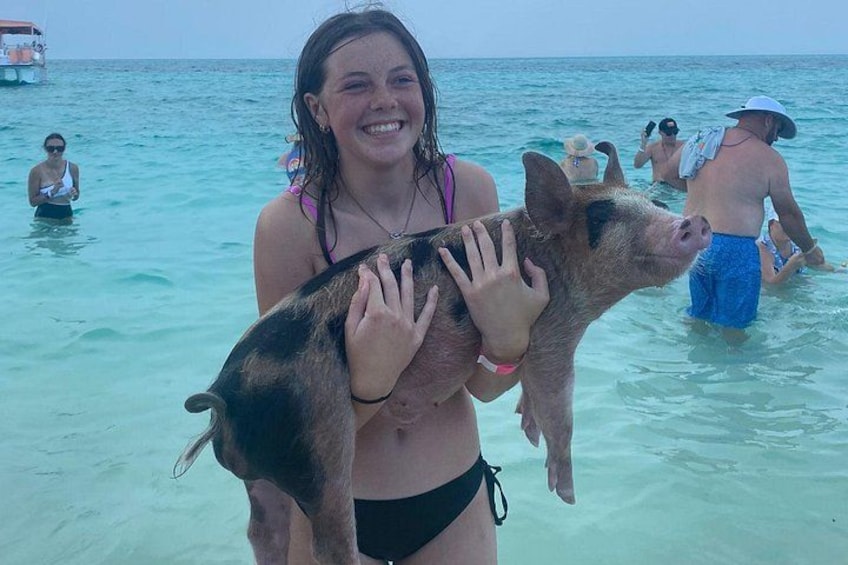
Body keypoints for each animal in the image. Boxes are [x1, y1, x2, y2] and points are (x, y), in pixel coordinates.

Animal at [175, 143, 711, 564]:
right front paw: (566, 493)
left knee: (264, 528)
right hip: (318, 442)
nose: (697, 221)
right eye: (603, 217)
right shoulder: (553, 329)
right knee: (328, 537)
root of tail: (224, 398)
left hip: (266, 473)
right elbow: (559, 403)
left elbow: (529, 389)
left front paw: (526, 427)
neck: (554, 262)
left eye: (650, 201)